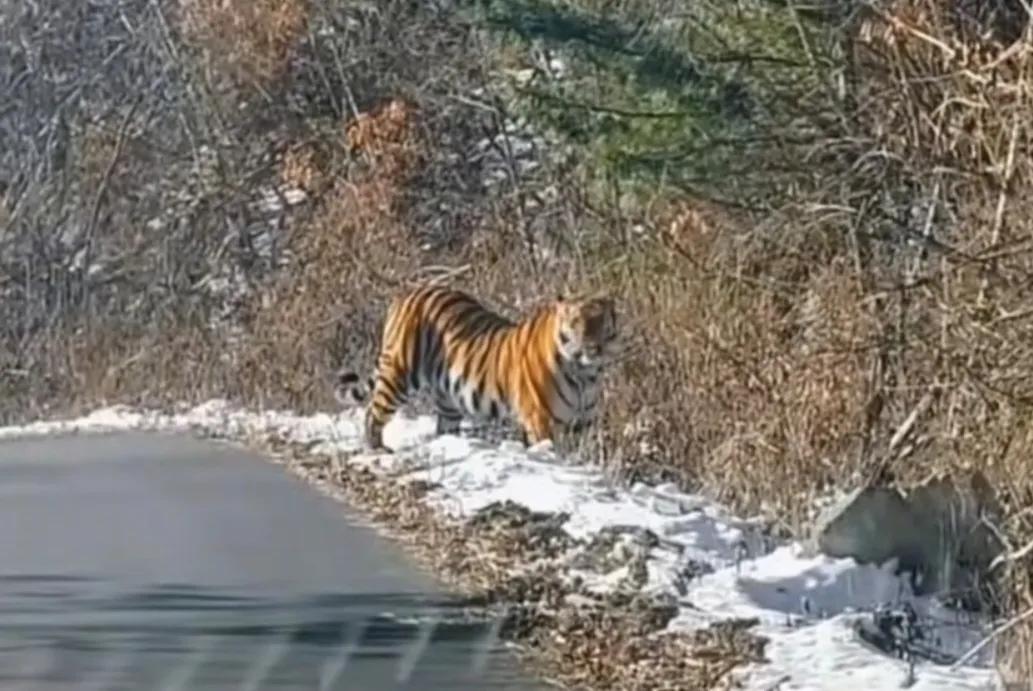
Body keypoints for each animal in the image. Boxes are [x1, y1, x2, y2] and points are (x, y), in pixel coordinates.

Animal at [338, 284, 618, 451]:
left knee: (444, 425)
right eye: (576, 322)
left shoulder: (583, 424)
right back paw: (377, 449)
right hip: (399, 375)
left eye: (600, 321)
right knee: (373, 413)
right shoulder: (541, 420)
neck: (586, 375)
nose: (593, 347)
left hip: (448, 399)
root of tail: (407, 293)